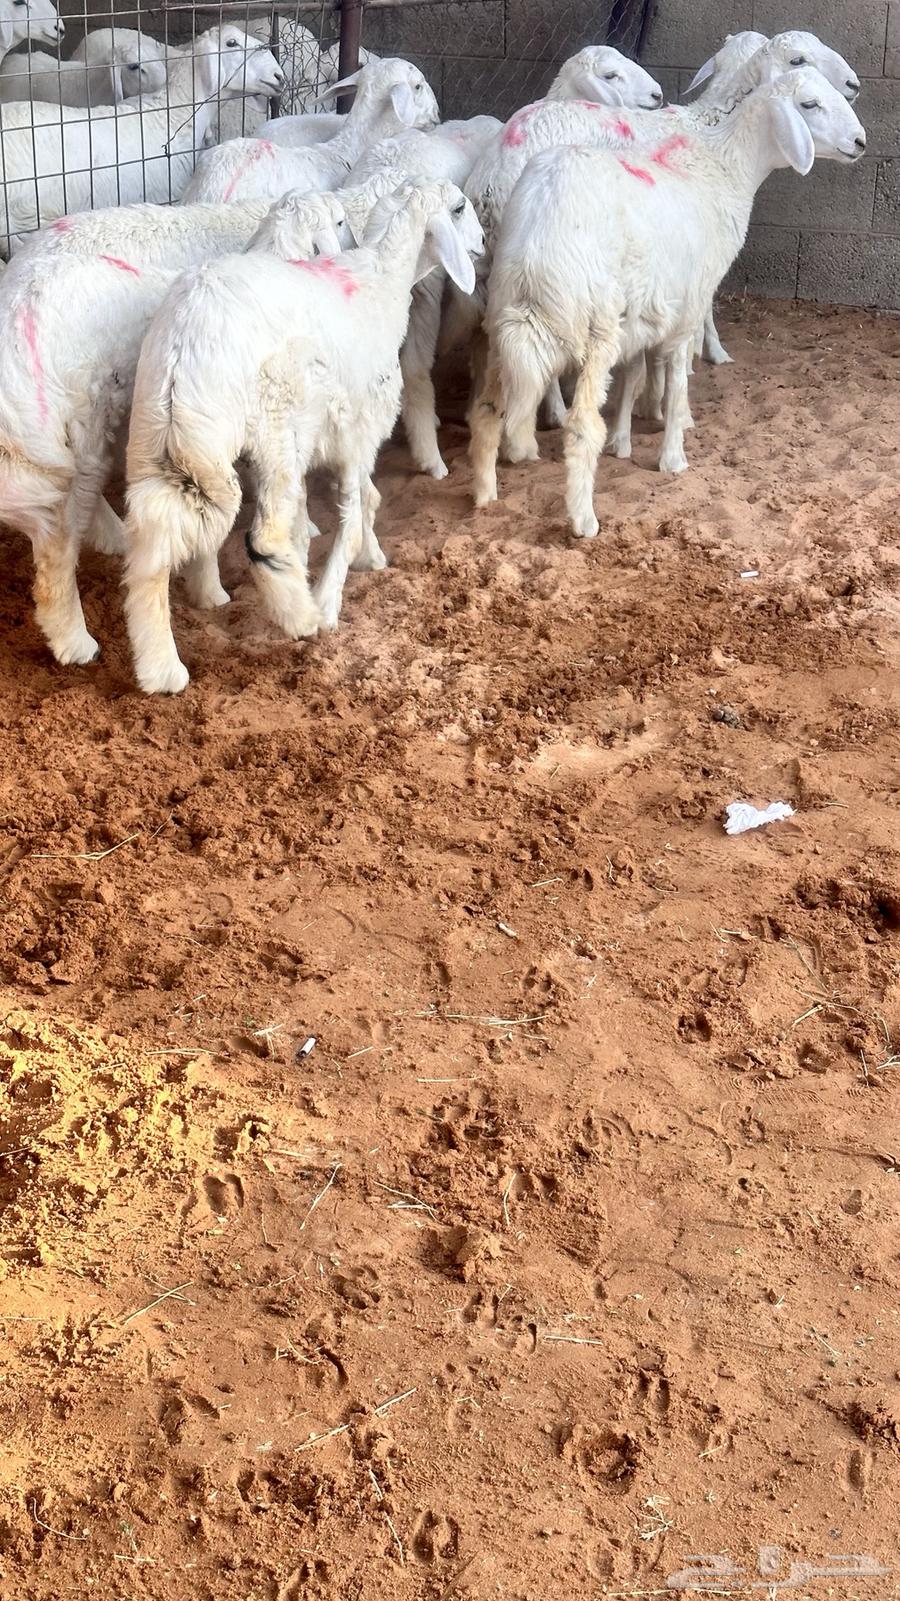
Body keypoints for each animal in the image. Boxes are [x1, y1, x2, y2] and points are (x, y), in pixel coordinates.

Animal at [121, 179, 483, 694]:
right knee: (264, 539)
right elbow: (356, 506)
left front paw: (367, 557)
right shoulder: (360, 426)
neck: (383, 283)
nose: (484, 243)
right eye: (458, 207)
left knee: (152, 548)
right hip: (275, 431)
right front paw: (335, 592)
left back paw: (163, 666)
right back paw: (301, 615)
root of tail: (187, 339)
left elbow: (349, 505)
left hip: (160, 438)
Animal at [468, 70, 866, 539]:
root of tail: (538, 238)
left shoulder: (647, 308)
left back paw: (484, 495)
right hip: (595, 326)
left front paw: (624, 439)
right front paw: (673, 453)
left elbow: (635, 374)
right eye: (809, 104)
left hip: (504, 318)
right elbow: (677, 381)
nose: (860, 142)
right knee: (581, 427)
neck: (725, 169)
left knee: (486, 412)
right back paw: (584, 518)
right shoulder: (690, 304)